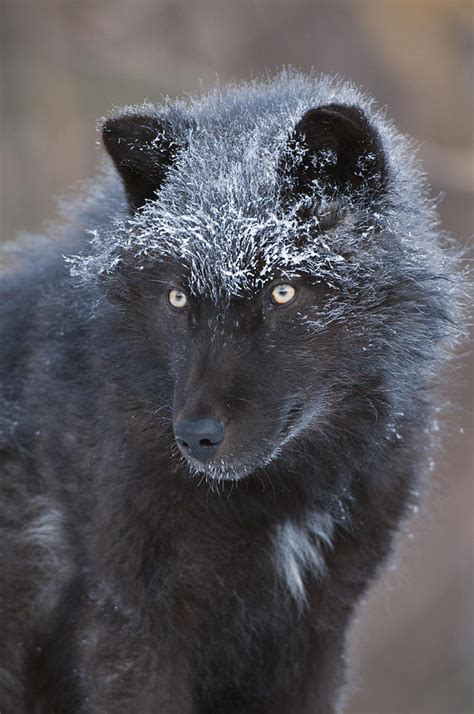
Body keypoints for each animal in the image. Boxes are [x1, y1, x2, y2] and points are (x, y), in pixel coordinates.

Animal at [0, 73, 462, 712]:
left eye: (282, 292)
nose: (196, 436)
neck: (277, 499)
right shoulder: (131, 628)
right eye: (177, 299)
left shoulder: (315, 634)